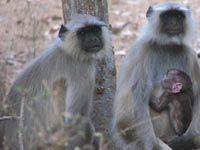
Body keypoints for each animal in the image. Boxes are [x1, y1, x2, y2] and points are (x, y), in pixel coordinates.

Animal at [0, 14, 112, 150]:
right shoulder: (82, 69)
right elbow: (76, 120)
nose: (93, 38)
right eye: (83, 32)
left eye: (95, 30)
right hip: (52, 142)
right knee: (85, 128)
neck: (67, 51)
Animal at [113, 2, 200, 150]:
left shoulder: (191, 55)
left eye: (178, 16)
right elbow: (137, 100)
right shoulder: (142, 51)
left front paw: (185, 139)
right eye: (167, 16)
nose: (173, 22)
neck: (168, 46)